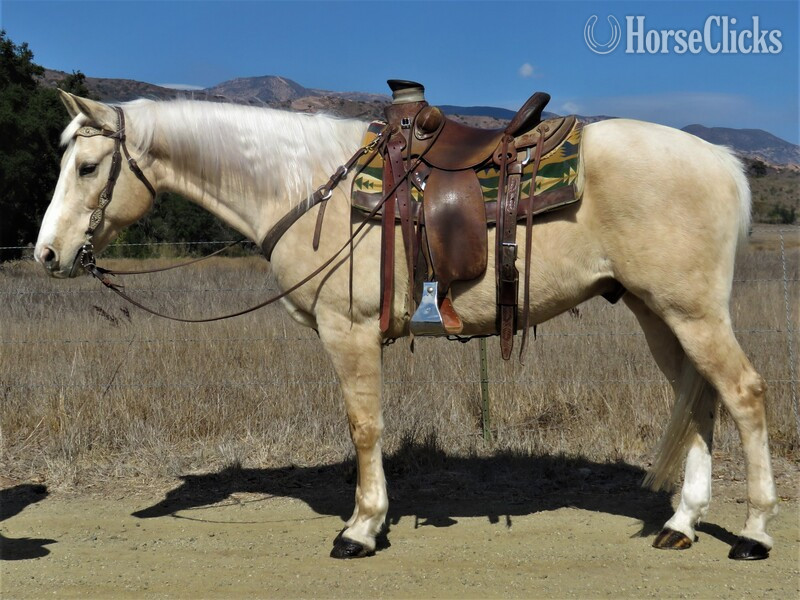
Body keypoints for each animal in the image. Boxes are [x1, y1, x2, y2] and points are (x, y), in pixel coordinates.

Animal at [34, 90, 778, 560]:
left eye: (89, 166)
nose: (48, 254)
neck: (309, 187)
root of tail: (725, 163)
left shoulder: (350, 332)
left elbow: (365, 427)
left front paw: (361, 529)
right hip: (660, 314)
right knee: (700, 399)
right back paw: (682, 523)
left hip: (691, 312)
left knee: (742, 395)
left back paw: (755, 533)